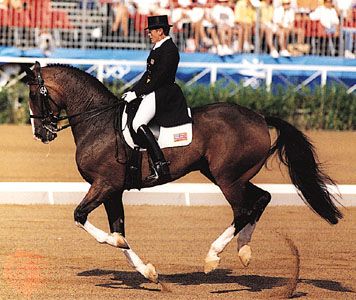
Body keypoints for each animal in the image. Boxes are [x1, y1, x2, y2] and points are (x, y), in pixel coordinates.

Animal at [24, 62, 342, 284]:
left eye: (35, 95)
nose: (41, 133)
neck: (97, 121)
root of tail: (260, 117)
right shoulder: (112, 190)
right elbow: (119, 230)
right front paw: (148, 271)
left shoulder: (104, 184)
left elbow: (83, 217)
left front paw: (123, 248)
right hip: (228, 175)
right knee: (262, 198)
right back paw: (244, 252)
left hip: (227, 179)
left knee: (243, 209)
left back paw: (213, 258)